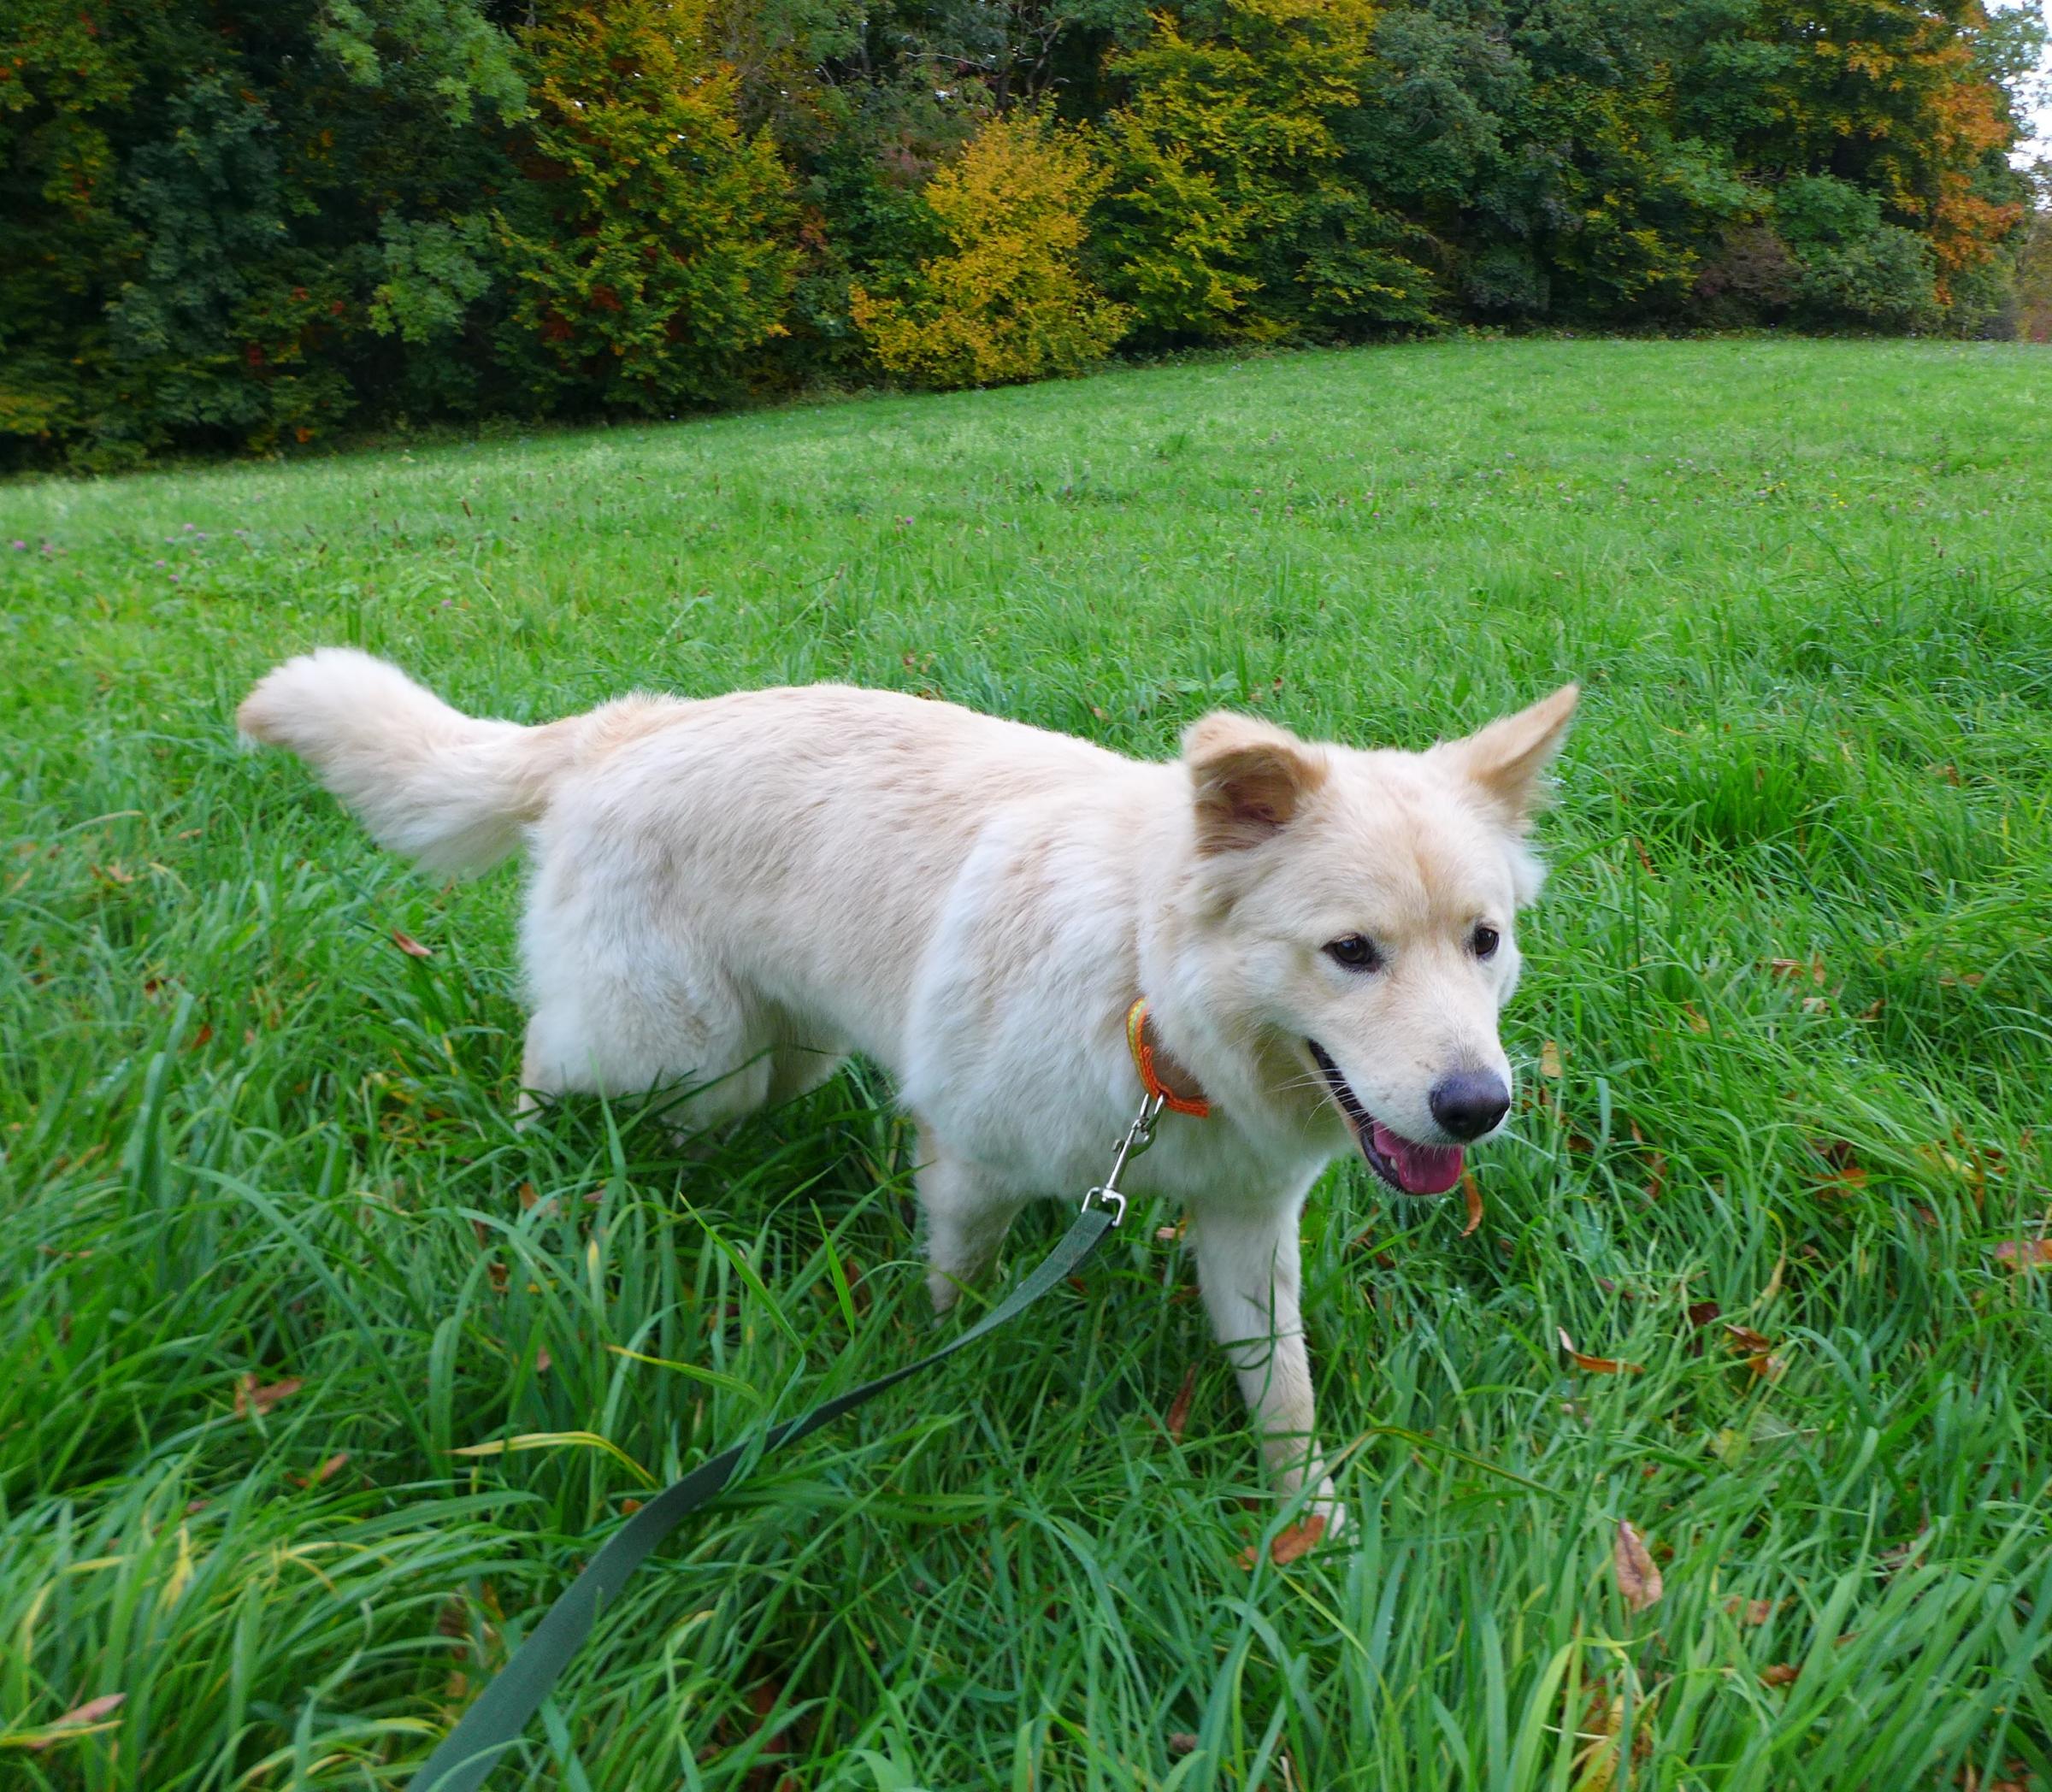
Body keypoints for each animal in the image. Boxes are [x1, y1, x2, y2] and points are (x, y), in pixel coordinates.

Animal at [239, 651, 1576, 1527]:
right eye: (1351, 952)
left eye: (1484, 941)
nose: (1478, 1107)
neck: (1151, 1003)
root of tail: (629, 726)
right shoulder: (972, 1165)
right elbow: (955, 1293)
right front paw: (936, 1379)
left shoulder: (1246, 1226)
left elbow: (1282, 1387)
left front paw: (1312, 1528)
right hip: (672, 1047)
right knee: (548, 1056)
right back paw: (532, 1164)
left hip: (779, 1053)